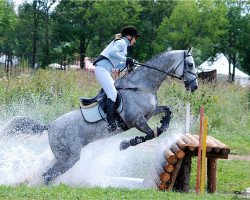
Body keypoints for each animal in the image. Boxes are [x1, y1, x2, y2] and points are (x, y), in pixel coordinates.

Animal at [1, 47, 197, 184]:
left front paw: (164, 123)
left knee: (47, 171)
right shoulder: (137, 120)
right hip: (70, 157)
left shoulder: (148, 115)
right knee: (49, 175)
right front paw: (126, 143)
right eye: (190, 64)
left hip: (63, 155)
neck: (142, 85)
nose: (194, 86)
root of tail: (49, 126)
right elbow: (150, 134)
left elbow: (166, 111)